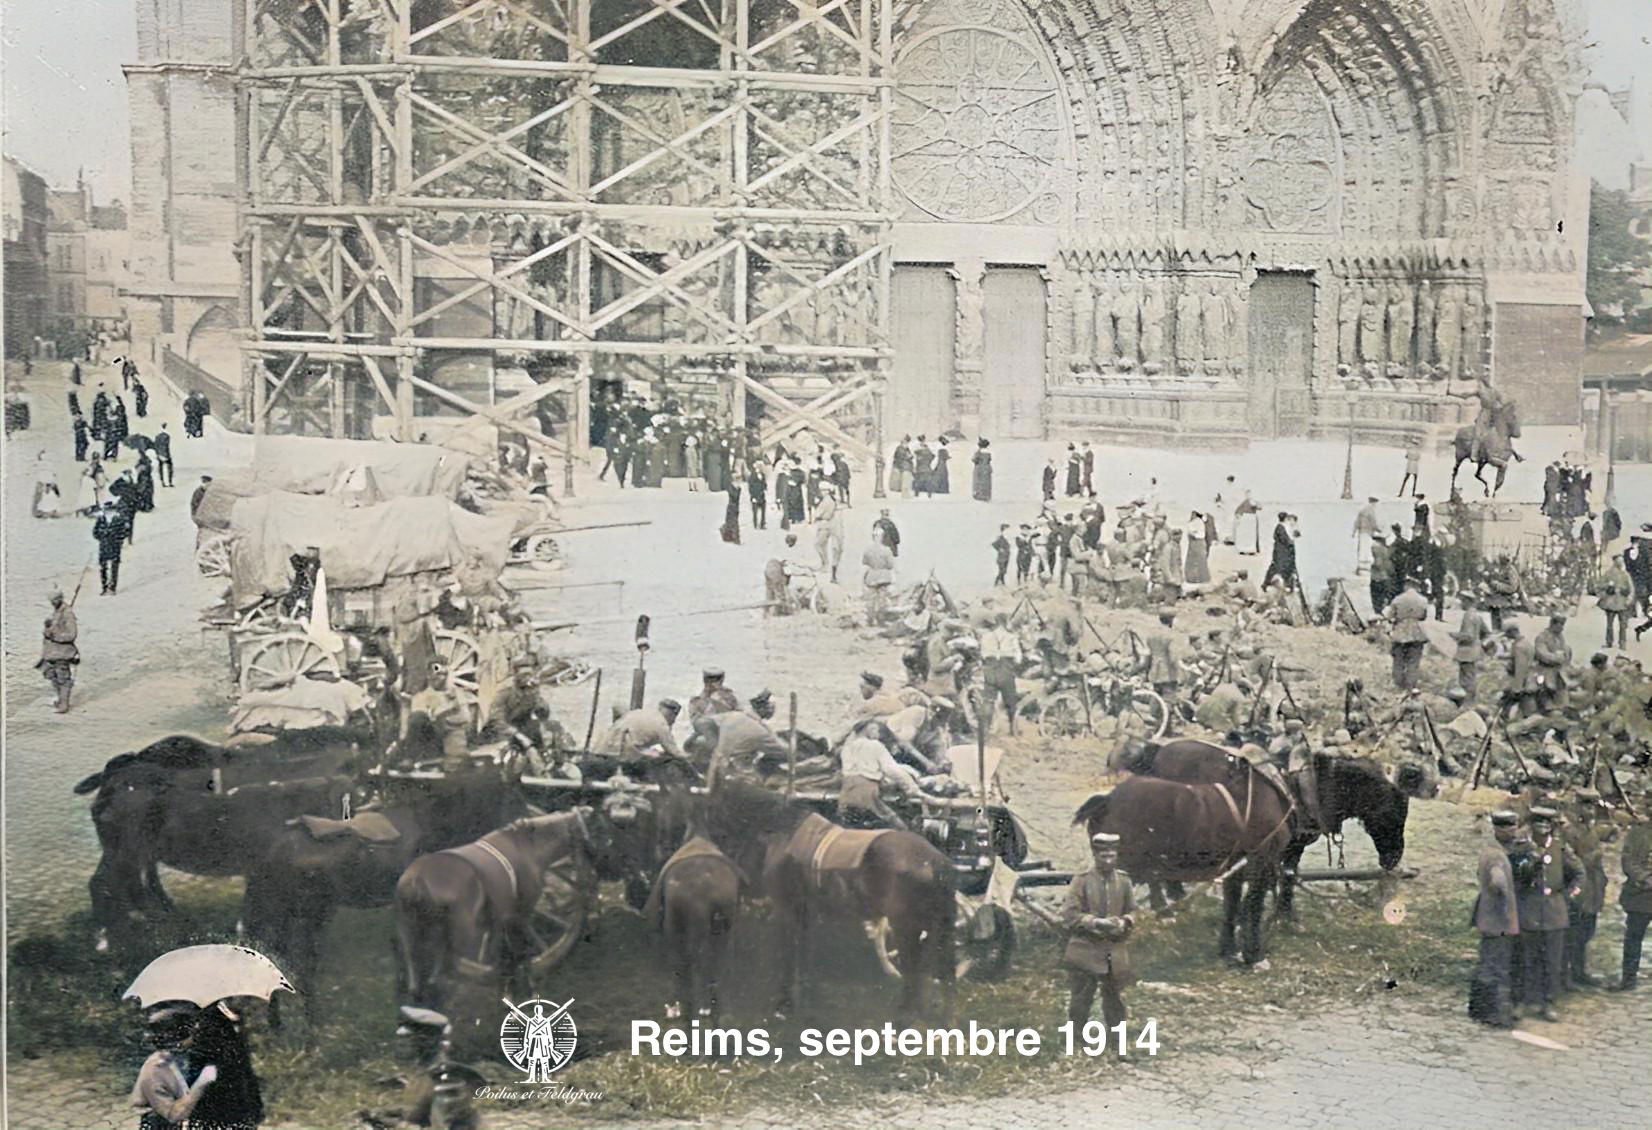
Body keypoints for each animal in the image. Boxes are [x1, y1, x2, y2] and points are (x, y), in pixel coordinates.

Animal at [72, 726, 363, 951]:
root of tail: (110, 779)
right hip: (124, 851)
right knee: (104, 884)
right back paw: (112, 938)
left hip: (126, 852)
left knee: (131, 886)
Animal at [394, 806, 598, 1030]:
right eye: (587, 827)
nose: (594, 858)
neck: (527, 845)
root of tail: (416, 880)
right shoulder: (519, 916)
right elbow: (520, 954)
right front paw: (528, 992)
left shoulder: (499, 922)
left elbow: (505, 957)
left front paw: (507, 996)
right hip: (463, 933)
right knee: (454, 969)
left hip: (412, 930)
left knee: (417, 971)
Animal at [697, 779, 958, 1017]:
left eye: (712, 813)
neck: (783, 834)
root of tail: (935, 861)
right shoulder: (805, 912)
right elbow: (804, 954)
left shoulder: (786, 910)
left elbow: (788, 954)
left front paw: (784, 1004)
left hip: (908, 929)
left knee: (914, 975)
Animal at [1077, 740, 1414, 964]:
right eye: (1394, 810)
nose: (1394, 858)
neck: (1297, 788)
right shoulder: (1271, 855)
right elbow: (1265, 893)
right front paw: (1261, 943)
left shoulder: (1260, 857)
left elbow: (1257, 892)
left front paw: (1266, 927)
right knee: (1151, 878)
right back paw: (1165, 908)